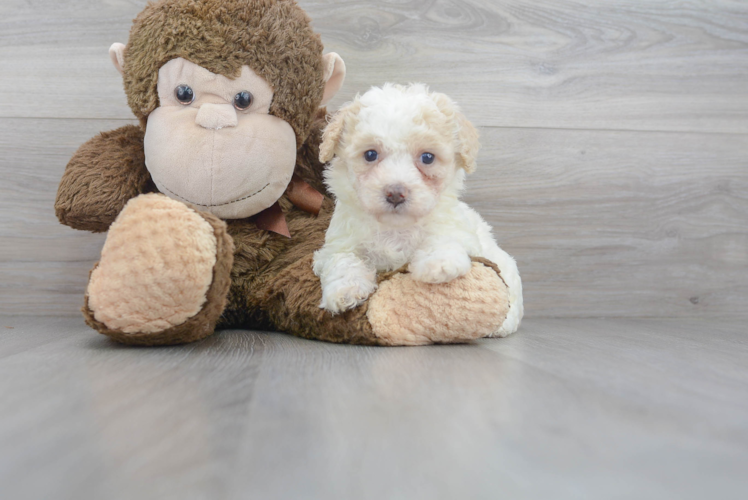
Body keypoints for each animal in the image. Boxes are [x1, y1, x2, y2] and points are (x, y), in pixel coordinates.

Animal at [312, 84, 524, 338]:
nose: (395, 193)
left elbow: (445, 239)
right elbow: (343, 260)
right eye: (370, 154)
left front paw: (439, 264)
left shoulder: (459, 230)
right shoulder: (337, 244)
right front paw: (345, 290)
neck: (395, 228)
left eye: (427, 157)